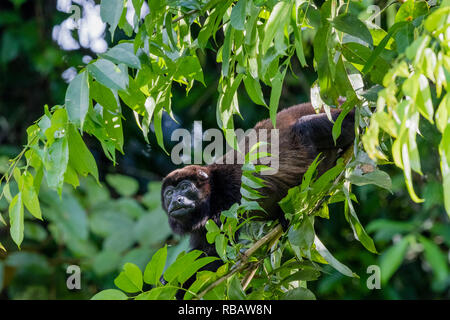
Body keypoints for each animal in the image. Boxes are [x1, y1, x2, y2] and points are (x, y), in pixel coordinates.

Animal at [160, 102, 354, 296]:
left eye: (185, 187)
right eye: (169, 193)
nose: (176, 200)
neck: (213, 191)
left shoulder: (227, 200)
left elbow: (218, 256)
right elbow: (204, 252)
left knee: (305, 126)